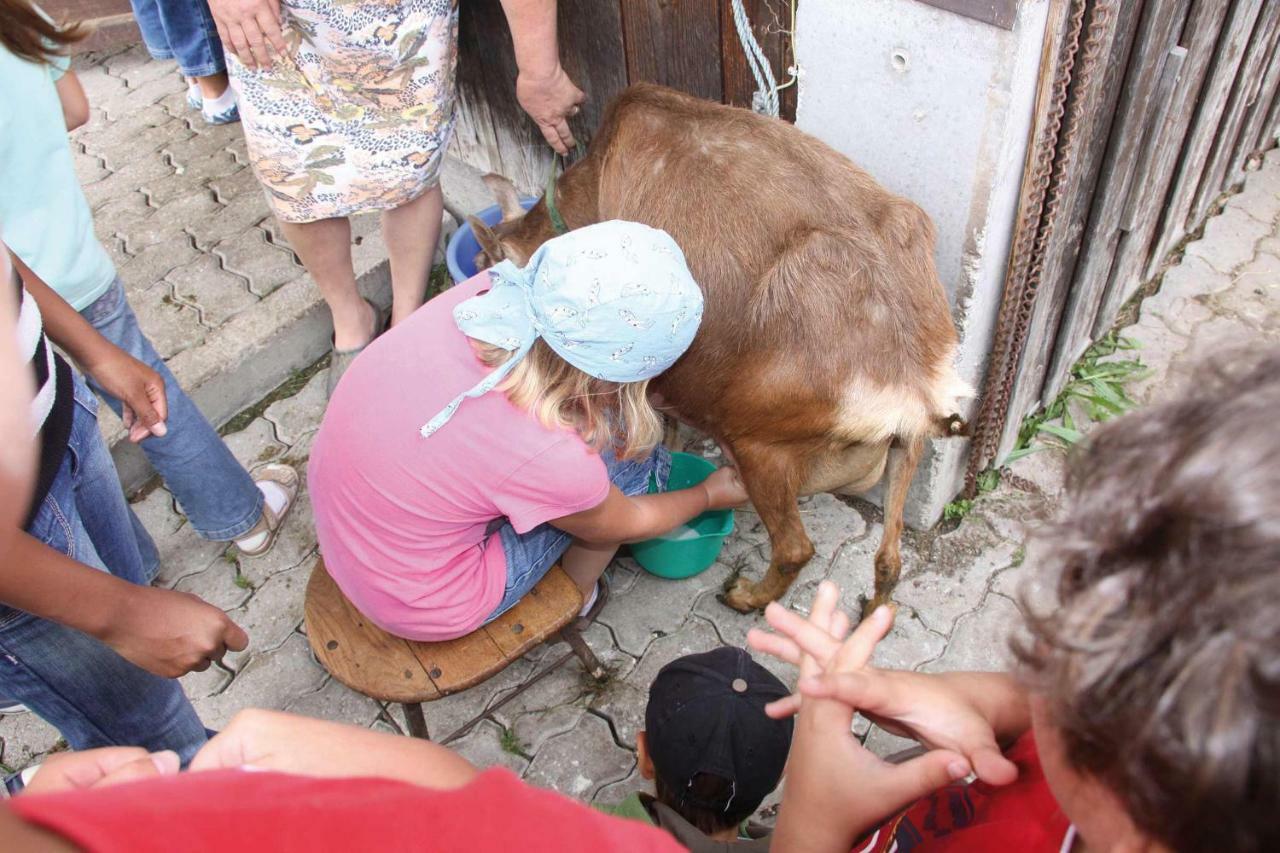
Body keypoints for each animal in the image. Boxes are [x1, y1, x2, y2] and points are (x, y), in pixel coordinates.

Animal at [471, 84, 967, 612]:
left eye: (485, 271)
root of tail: (913, 387)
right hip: (908, 447)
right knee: (890, 558)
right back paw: (871, 612)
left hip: (758, 441)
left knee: (795, 547)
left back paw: (744, 595)